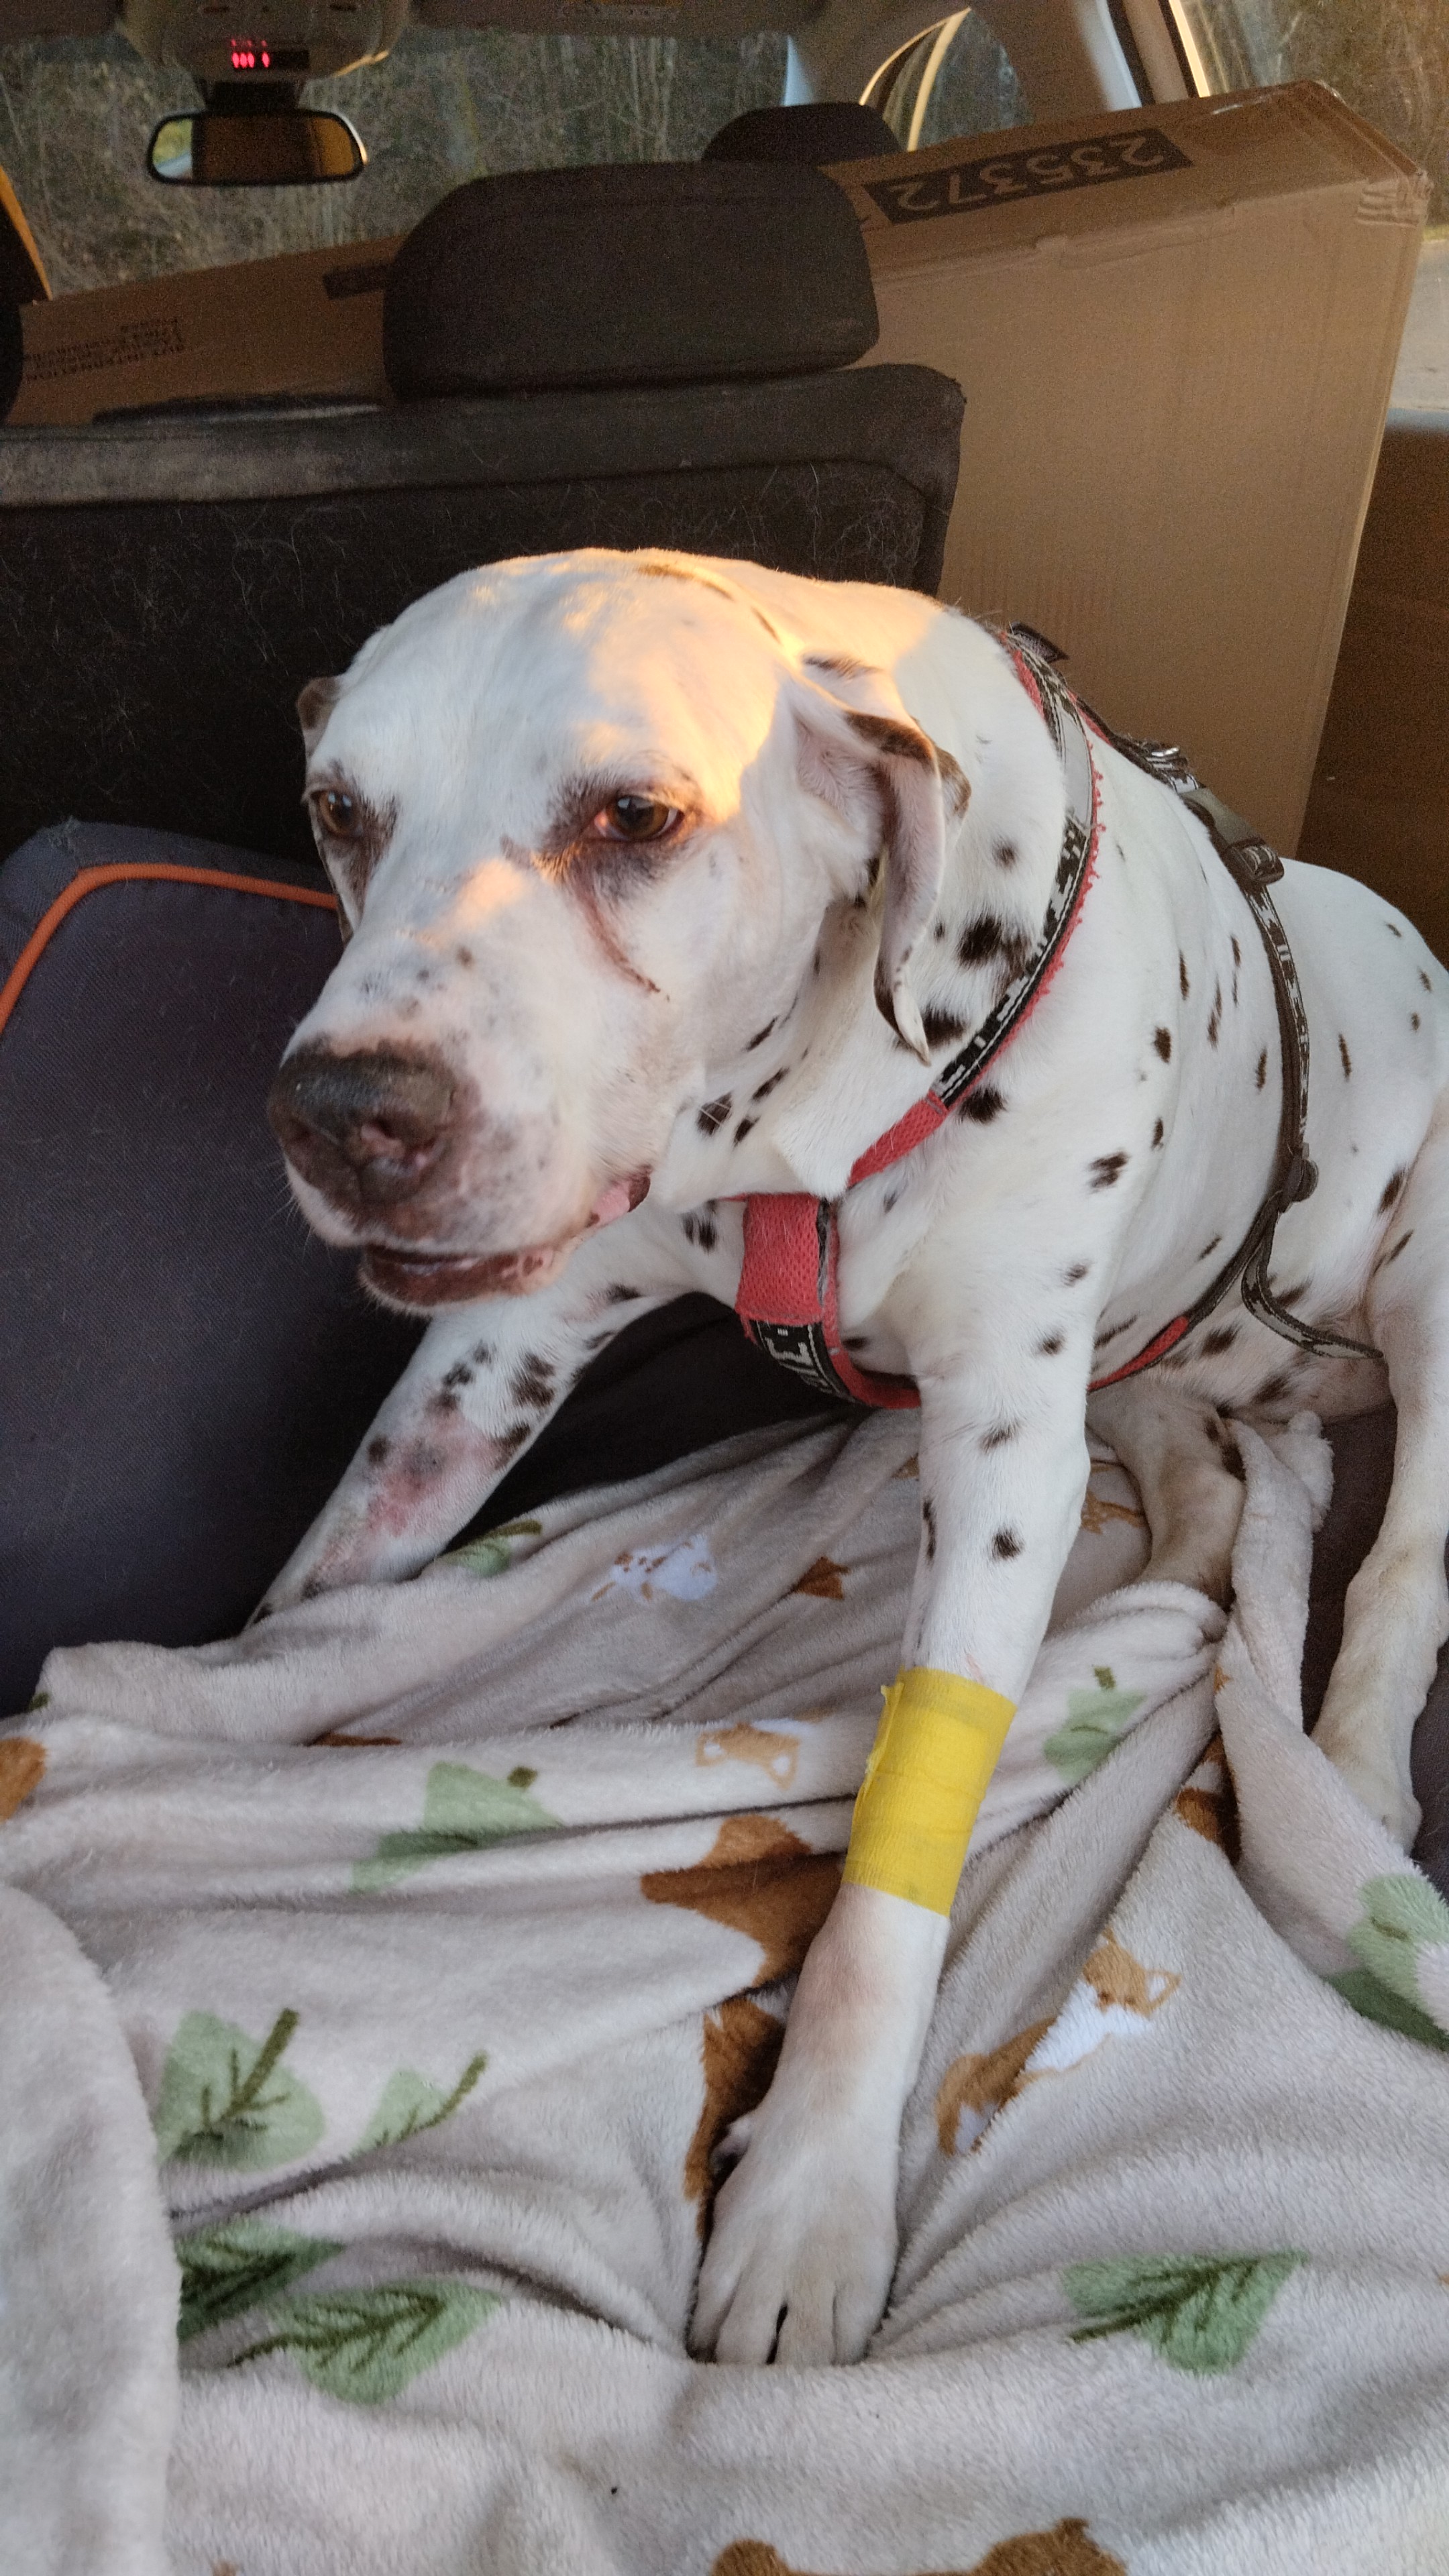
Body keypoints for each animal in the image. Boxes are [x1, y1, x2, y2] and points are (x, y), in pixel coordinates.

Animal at [262, 548, 1448, 2366]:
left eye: (634, 815)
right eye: (339, 808)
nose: (342, 1111)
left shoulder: (1001, 1456)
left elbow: (907, 1835)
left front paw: (812, 2194)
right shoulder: (489, 1361)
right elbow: (309, 1596)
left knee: (1403, 1551)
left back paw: (1354, 1764)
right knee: (1191, 1448)